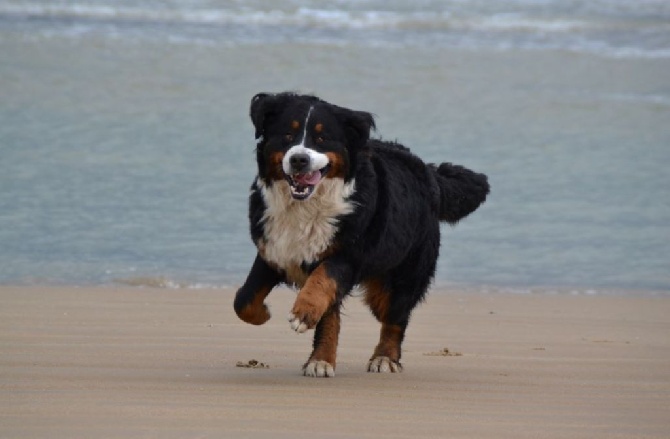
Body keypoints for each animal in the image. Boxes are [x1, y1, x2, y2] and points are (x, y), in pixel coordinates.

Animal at [234, 93, 490, 378]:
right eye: (287, 135)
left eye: (322, 138)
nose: (299, 159)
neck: (305, 206)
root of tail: (429, 173)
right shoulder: (273, 250)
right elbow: (244, 300)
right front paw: (264, 314)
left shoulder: (347, 255)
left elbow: (320, 281)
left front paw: (302, 312)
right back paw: (321, 360)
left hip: (402, 277)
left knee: (394, 318)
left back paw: (384, 358)